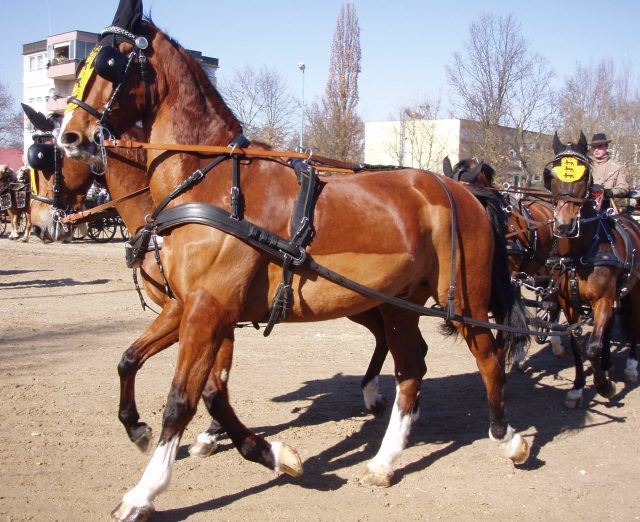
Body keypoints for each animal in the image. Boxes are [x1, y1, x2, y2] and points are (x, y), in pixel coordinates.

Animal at [60, 13, 528, 520]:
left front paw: (145, 491)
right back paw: (384, 460)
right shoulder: (193, 308)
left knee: (486, 355)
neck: (213, 184)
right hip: (400, 304)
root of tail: (463, 190)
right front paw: (270, 454)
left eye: (109, 62)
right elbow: (170, 376)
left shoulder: (207, 309)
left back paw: (507, 438)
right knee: (410, 366)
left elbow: (182, 399)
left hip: (463, 299)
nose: (70, 136)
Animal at [544, 131, 640, 406]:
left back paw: (630, 367)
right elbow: (578, 345)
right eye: (552, 174)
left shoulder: (603, 300)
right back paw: (607, 363)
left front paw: (604, 386)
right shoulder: (569, 303)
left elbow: (593, 346)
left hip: (635, 292)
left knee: (634, 325)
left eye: (584, 173)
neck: (580, 254)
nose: (564, 225)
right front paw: (577, 387)